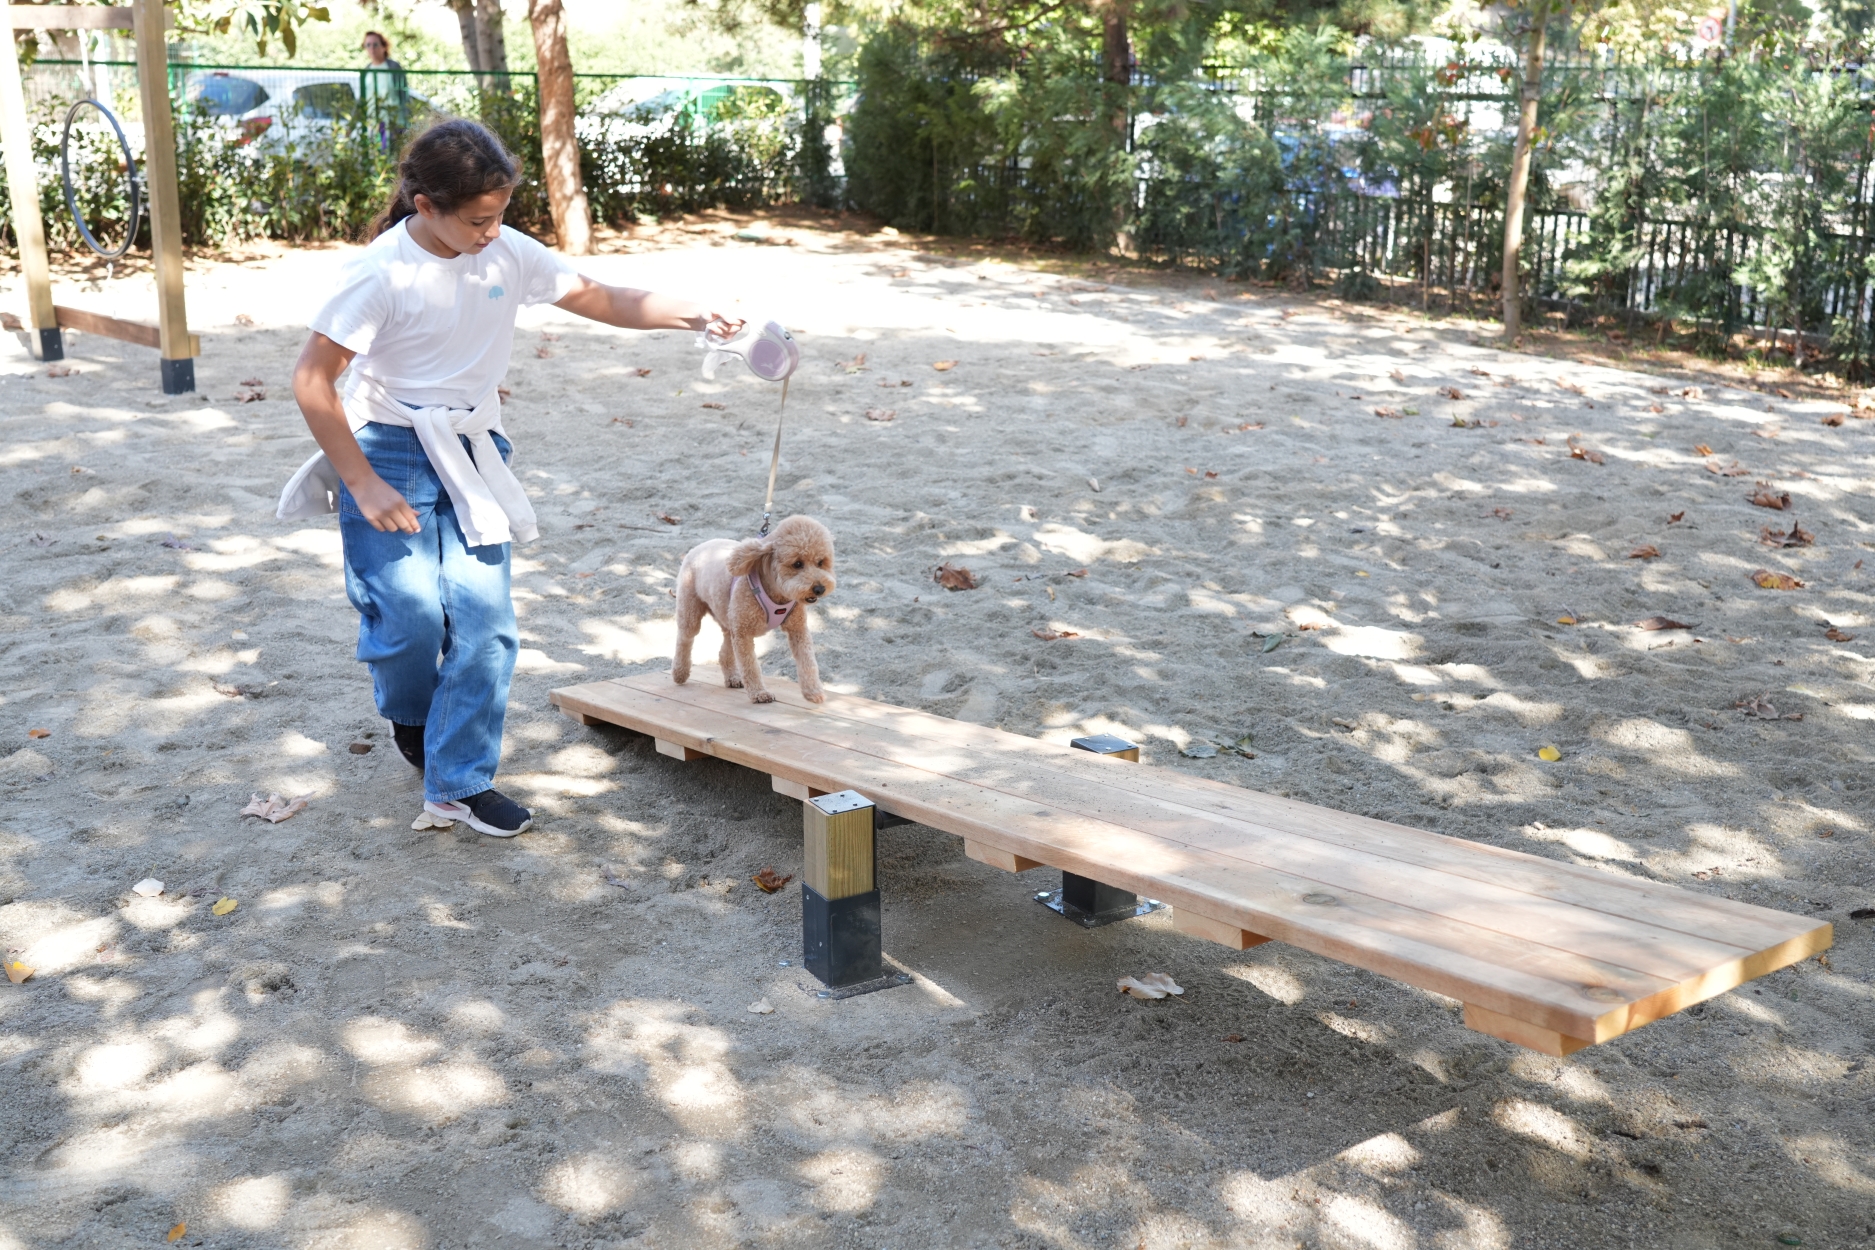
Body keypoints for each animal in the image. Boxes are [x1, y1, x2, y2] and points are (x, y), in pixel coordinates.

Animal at [675, 509, 836, 704]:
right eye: (797, 564)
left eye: (821, 562)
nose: (819, 588)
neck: (777, 592)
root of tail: (699, 547)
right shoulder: (744, 633)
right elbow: (750, 665)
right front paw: (759, 693)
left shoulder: (797, 629)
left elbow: (808, 661)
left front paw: (813, 691)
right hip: (691, 611)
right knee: (685, 639)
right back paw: (679, 673)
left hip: (730, 619)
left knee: (724, 651)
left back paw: (733, 677)